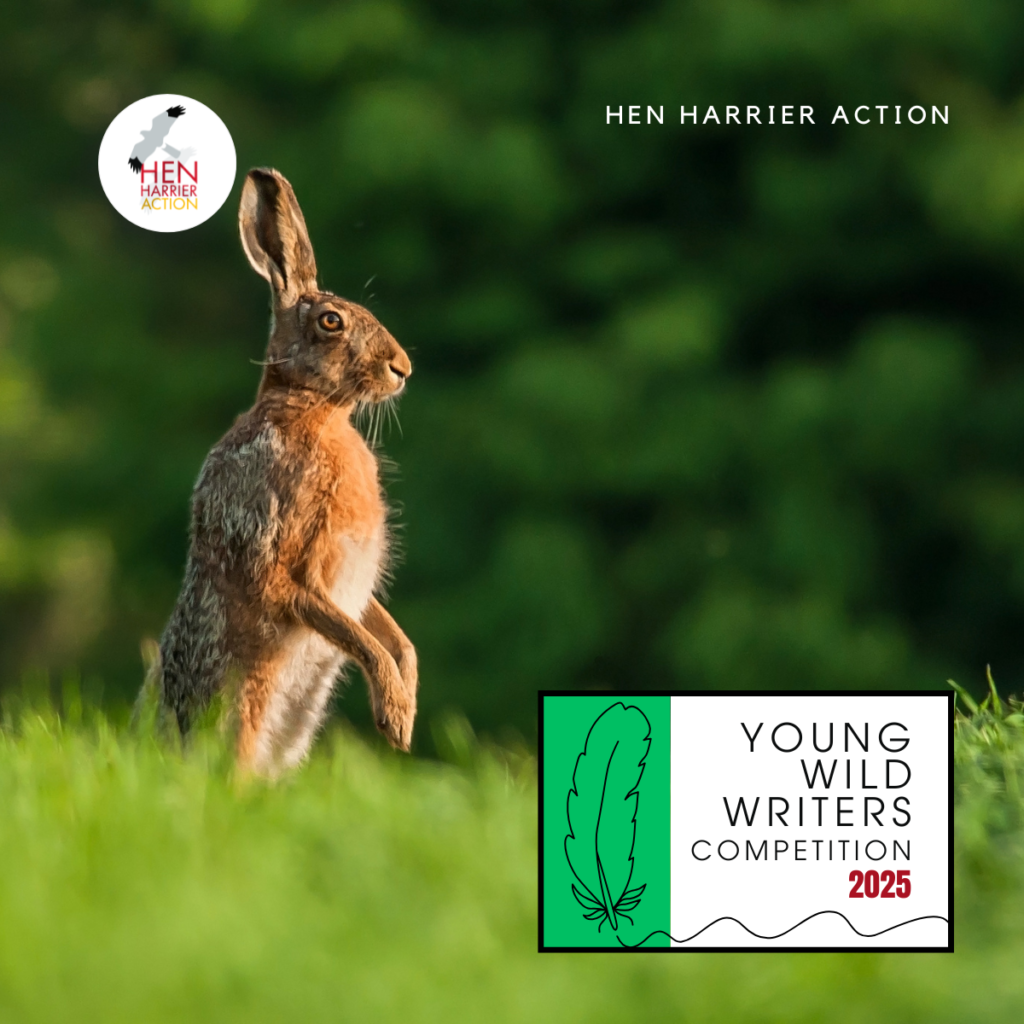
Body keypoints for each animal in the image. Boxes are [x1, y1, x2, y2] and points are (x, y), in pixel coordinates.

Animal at [154, 167, 417, 774]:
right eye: (331, 322)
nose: (402, 368)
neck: (312, 410)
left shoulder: (350, 588)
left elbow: (392, 635)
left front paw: (407, 708)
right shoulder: (279, 558)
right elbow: (357, 636)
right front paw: (395, 717)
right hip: (245, 712)